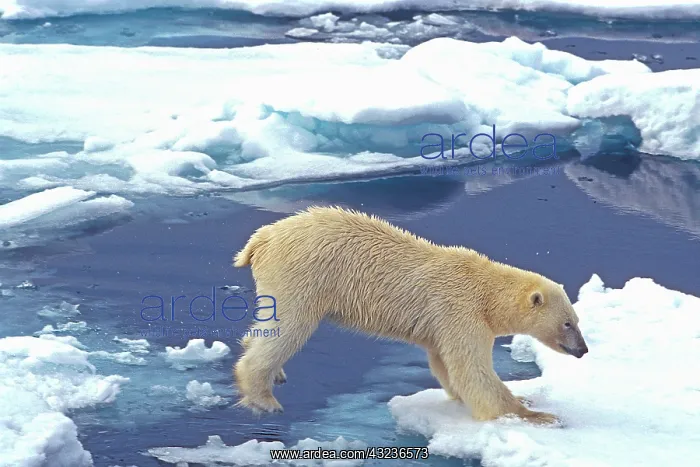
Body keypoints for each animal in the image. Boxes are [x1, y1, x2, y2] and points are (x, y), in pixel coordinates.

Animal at [232, 206, 588, 425]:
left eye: (577, 320)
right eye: (567, 322)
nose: (583, 350)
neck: (486, 289)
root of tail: (263, 238)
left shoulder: (443, 324)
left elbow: (447, 367)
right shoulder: (460, 311)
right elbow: (472, 371)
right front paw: (537, 415)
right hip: (303, 275)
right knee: (289, 328)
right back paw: (264, 398)